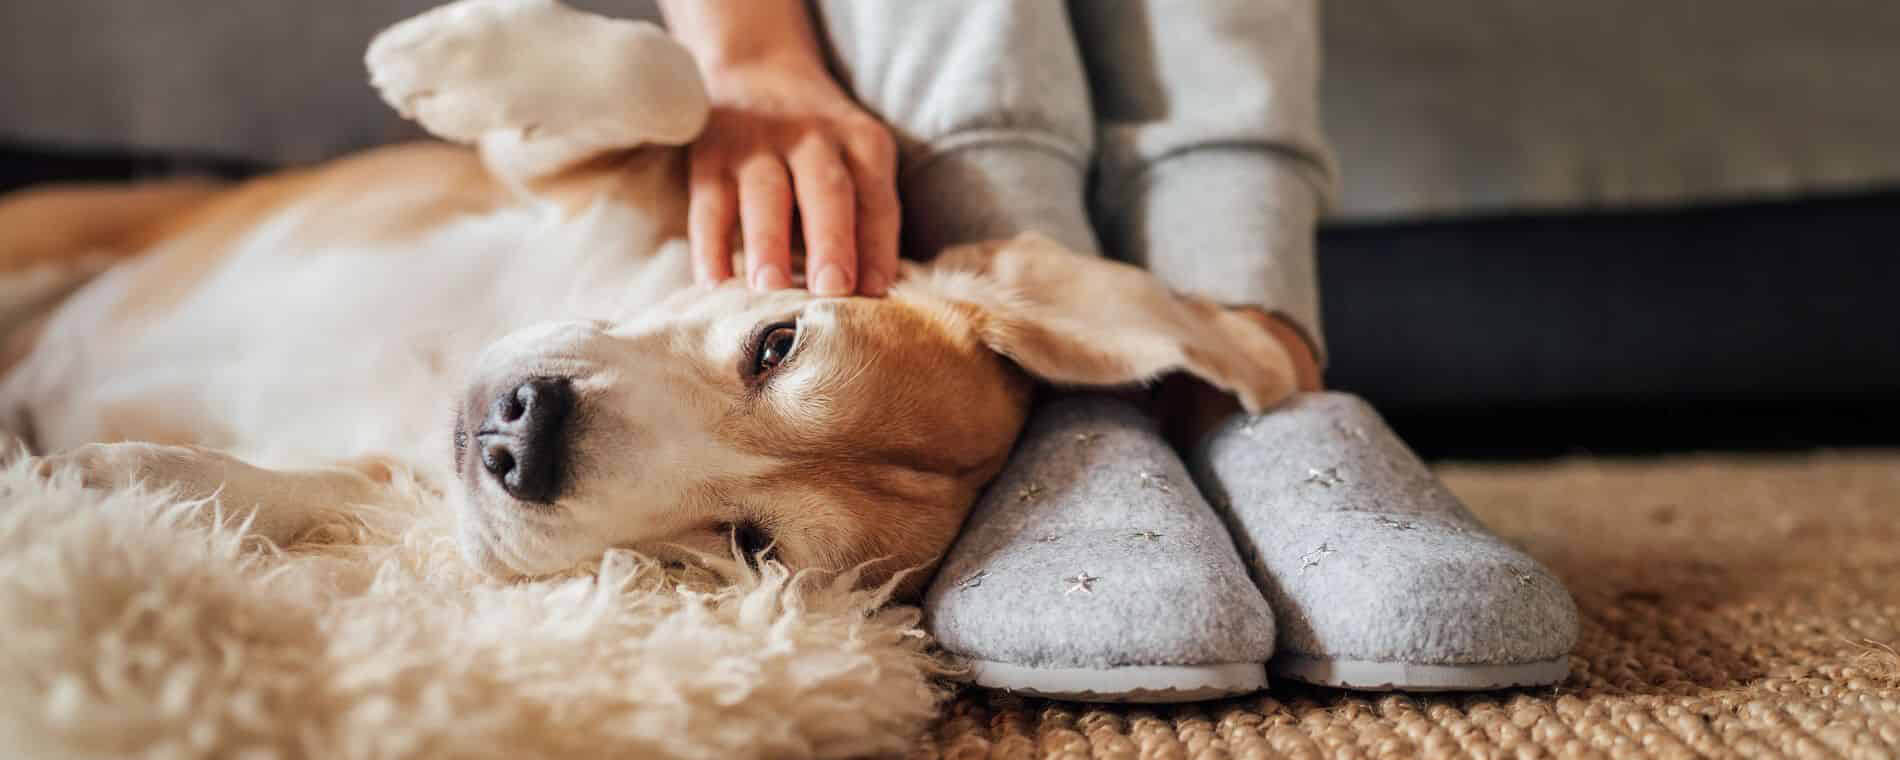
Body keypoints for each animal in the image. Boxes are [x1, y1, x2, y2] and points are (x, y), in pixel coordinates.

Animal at [0, 0, 1292, 592]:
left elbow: (296, 490)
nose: (523, 434)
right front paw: (444, 59)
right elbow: (669, 80)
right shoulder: (565, 178)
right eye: (775, 342)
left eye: (750, 543)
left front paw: (109, 484)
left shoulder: (400, 486)